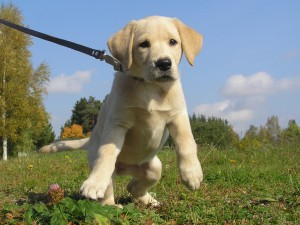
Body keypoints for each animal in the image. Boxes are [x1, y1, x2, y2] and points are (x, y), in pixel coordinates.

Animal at [39, 15, 204, 206]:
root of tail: (127, 168)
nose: (164, 63)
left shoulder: (178, 116)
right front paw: (94, 183)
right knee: (108, 188)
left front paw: (192, 173)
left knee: (133, 187)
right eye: (143, 44)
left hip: (154, 167)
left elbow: (187, 142)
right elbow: (107, 152)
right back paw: (110, 203)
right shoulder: (117, 123)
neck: (149, 86)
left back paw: (150, 201)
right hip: (104, 164)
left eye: (173, 42)